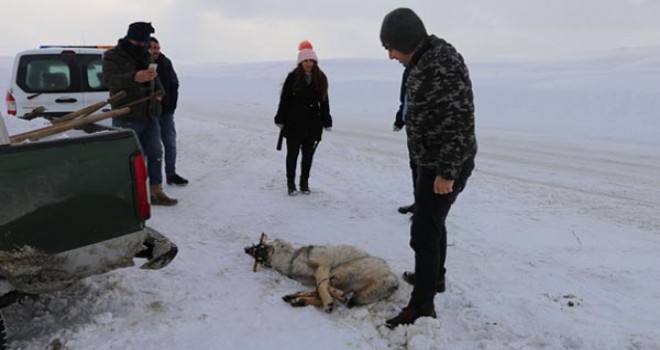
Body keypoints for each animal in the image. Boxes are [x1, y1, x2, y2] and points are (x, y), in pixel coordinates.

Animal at [244, 235, 394, 312]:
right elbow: (322, 288)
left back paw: (300, 299)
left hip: (342, 270)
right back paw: (297, 298)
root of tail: (393, 277)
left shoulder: (323, 266)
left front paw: (328, 301)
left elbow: (322, 288)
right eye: (256, 246)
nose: (245, 249)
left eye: (260, 246)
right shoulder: (314, 277)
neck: (291, 259)